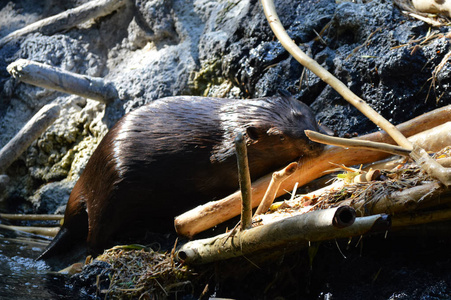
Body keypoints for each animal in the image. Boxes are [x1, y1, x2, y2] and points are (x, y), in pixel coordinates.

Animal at [37, 94, 324, 260]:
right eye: (280, 136)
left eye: (309, 114)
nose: (314, 142)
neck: (230, 127)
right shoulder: (222, 156)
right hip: (109, 194)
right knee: (93, 237)